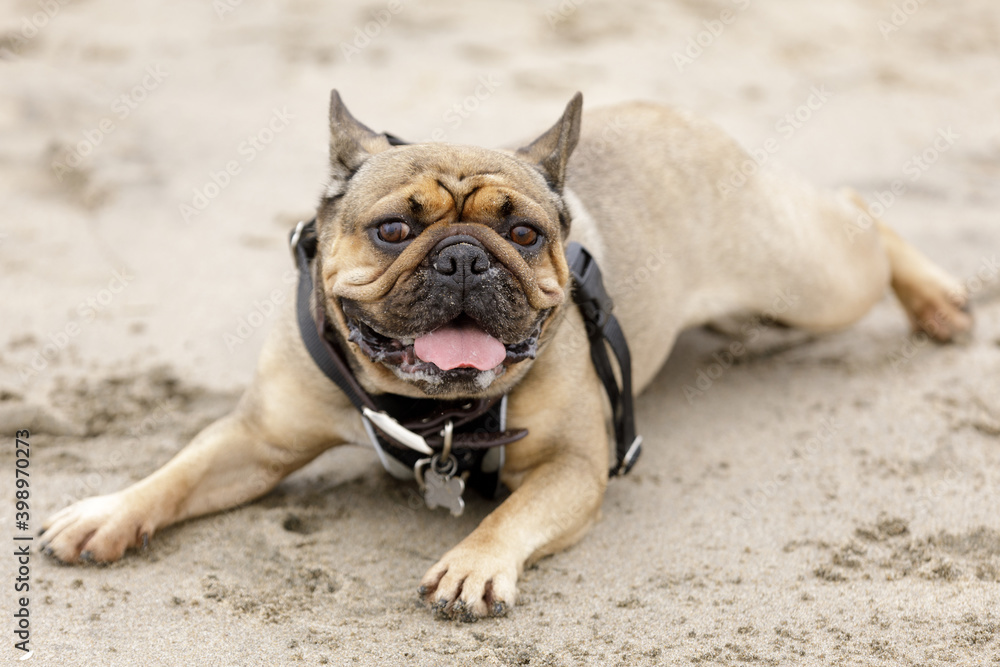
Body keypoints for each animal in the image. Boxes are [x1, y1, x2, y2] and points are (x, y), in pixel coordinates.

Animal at [41, 91, 972, 620]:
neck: (431, 410)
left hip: (808, 280)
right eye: (393, 229)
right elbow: (179, 471)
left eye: (523, 234)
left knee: (863, 219)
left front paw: (473, 563)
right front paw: (107, 510)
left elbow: (509, 514)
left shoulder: (575, 465)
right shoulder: (258, 437)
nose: (465, 257)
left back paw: (938, 301)